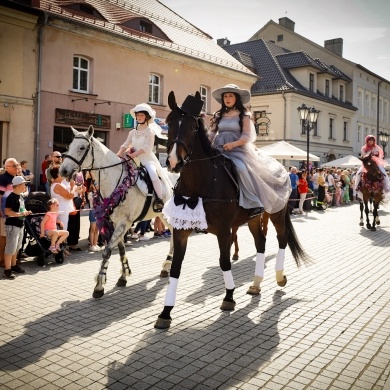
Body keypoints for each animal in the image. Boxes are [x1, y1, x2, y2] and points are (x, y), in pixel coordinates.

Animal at [59, 126, 174, 298]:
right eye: (70, 145)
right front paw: (123, 276)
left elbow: (107, 251)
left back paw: (167, 266)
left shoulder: (123, 223)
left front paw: (99, 285)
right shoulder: (117, 222)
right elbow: (120, 248)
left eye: (82, 147)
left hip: (167, 216)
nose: (63, 170)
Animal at [154, 92, 310, 330]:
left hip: (276, 213)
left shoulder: (224, 230)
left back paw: (279, 277)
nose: (173, 161)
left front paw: (228, 298)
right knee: (261, 244)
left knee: (281, 240)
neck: (201, 183)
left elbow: (224, 261)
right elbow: (176, 267)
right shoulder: (181, 229)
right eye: (170, 123)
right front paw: (165, 312)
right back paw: (256, 283)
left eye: (192, 127)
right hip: (254, 219)